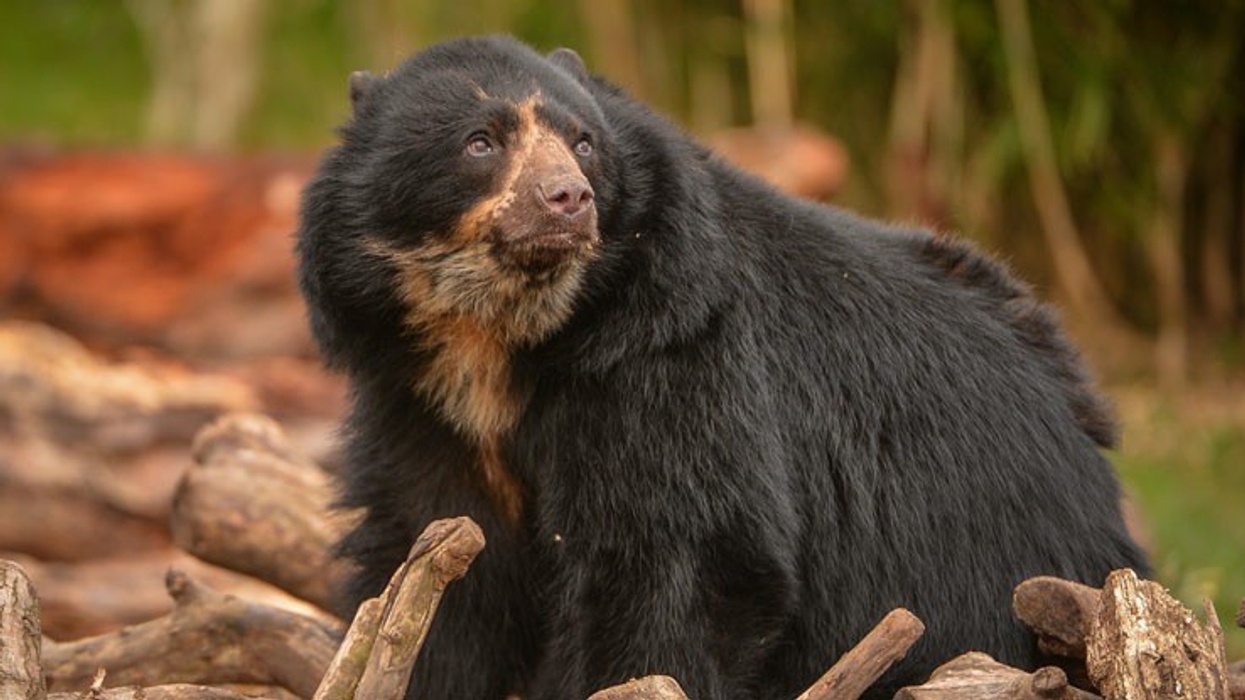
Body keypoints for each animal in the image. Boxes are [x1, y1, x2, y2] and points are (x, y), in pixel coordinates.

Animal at [296, 35, 1148, 700]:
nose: (568, 199)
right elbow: (439, 556)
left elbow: (676, 554)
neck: (503, 335)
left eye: (583, 142)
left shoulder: (670, 353)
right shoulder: (415, 397)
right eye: (480, 140)